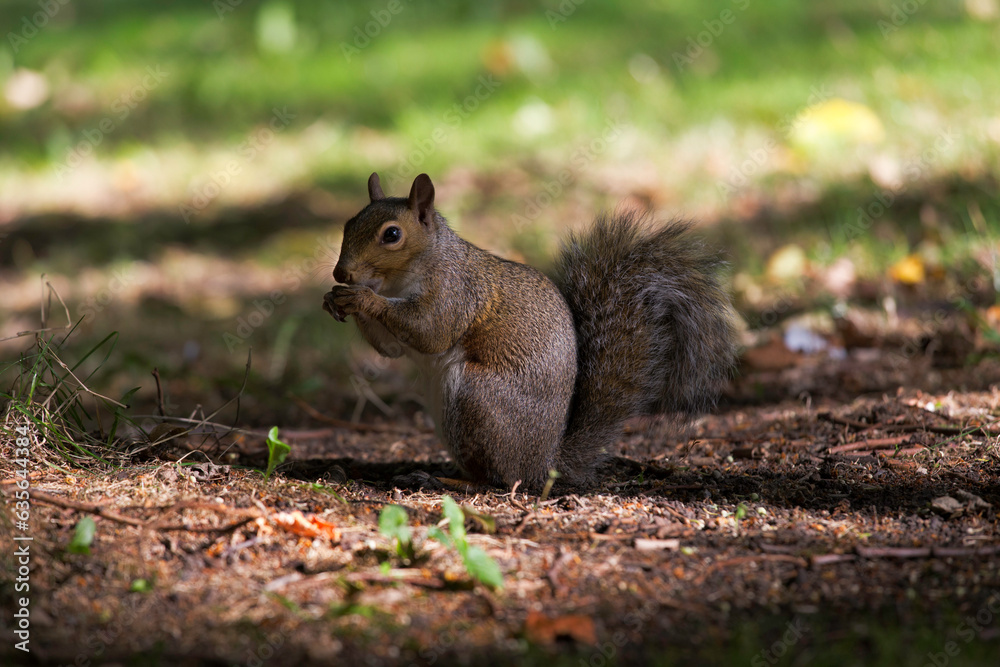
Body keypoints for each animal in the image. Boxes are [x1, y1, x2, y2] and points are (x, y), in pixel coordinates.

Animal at [323, 172, 738, 493]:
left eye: (392, 234)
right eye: (347, 225)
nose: (342, 273)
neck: (402, 279)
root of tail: (546, 462)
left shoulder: (456, 292)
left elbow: (432, 331)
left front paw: (361, 298)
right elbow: (390, 349)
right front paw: (335, 299)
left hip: (476, 398)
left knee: (503, 480)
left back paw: (447, 481)